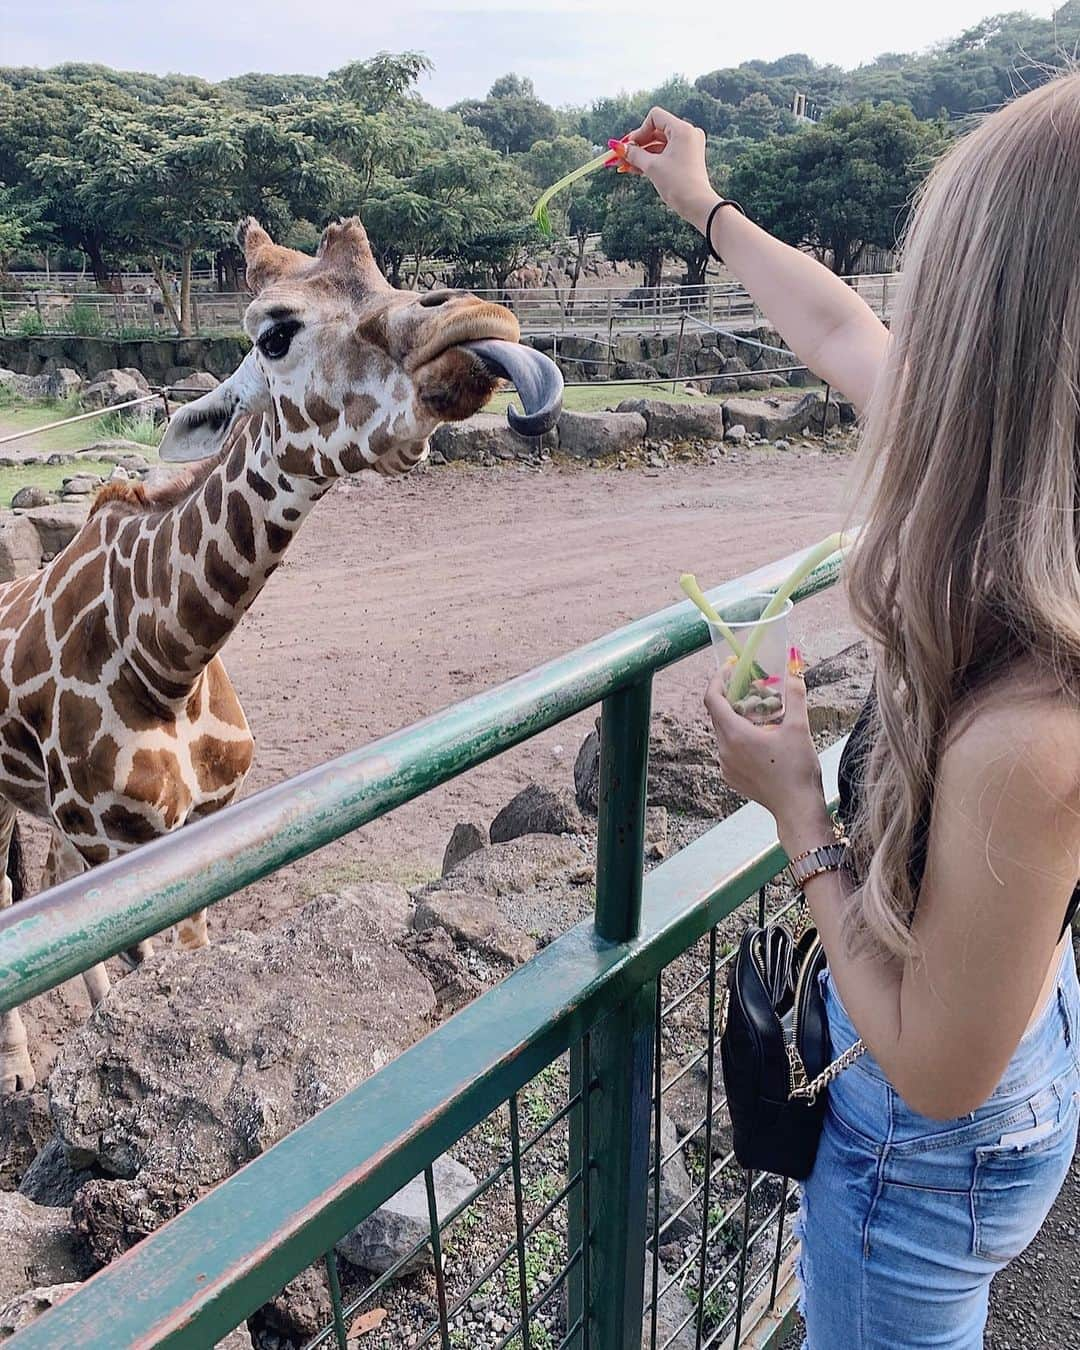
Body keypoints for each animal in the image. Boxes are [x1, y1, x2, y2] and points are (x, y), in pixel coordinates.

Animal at [0, 216, 556, 1090]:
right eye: (274, 334)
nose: (479, 319)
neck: (168, 660)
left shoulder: (196, 819)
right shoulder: (115, 832)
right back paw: (22, 1071)